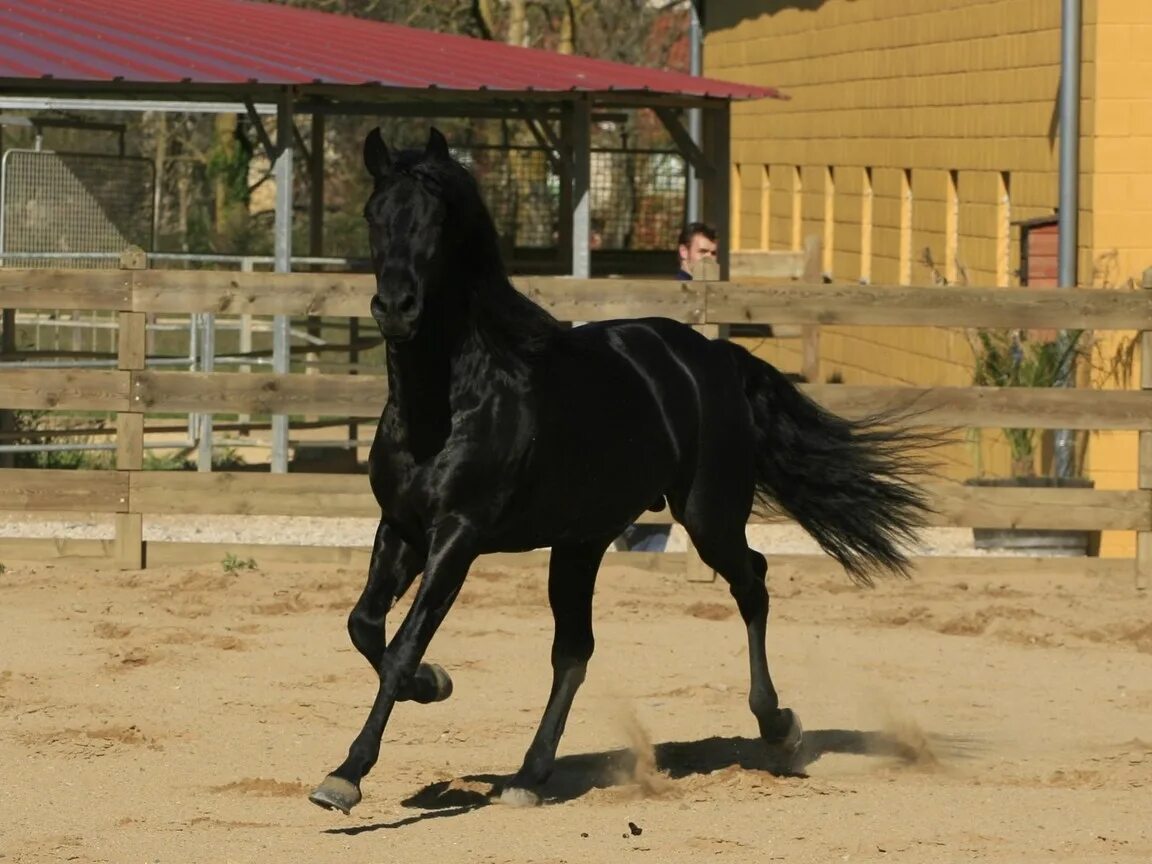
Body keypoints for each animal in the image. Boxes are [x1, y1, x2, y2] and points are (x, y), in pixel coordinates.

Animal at [311, 128, 930, 820]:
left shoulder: (458, 535)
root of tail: (713, 355)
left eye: (438, 219)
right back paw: (529, 776)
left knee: (753, 584)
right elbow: (365, 627)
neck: (448, 405)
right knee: (574, 650)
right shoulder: (401, 527)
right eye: (374, 214)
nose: (396, 307)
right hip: (580, 542)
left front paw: (346, 775)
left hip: (707, 516)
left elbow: (400, 647)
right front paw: (435, 684)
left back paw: (780, 728)